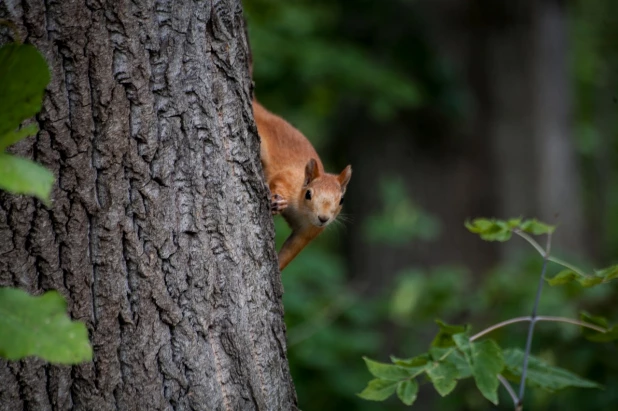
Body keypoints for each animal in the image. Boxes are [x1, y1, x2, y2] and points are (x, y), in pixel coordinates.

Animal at [251, 101, 352, 272]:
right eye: (308, 194)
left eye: (342, 200)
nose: (323, 218)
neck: (303, 213)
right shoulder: (288, 178)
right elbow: (278, 181)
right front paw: (278, 201)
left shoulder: (309, 232)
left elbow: (292, 249)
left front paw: (278, 268)